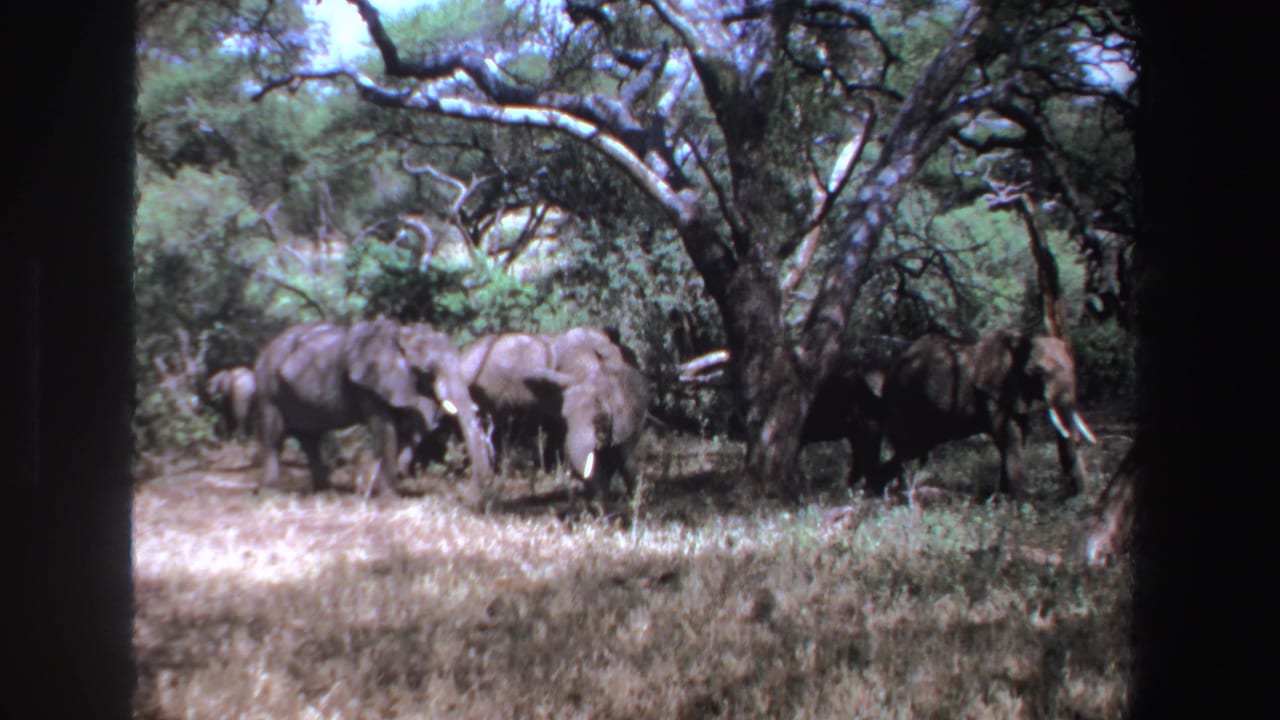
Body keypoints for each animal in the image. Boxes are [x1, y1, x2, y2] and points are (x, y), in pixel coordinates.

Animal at [253, 319, 493, 499]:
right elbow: (385, 428)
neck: (402, 334)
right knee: (274, 436)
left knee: (310, 439)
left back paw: (324, 492)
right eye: (428, 370)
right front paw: (388, 498)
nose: (468, 494)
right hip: (268, 386)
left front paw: (369, 487)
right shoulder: (368, 383)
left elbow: (404, 427)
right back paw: (271, 491)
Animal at [869, 330, 1096, 499]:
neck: (1021, 340)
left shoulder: (1013, 393)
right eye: (1038, 372)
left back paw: (881, 490)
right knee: (907, 451)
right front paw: (1015, 504)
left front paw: (1003, 500)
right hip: (902, 401)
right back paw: (892, 494)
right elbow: (1009, 438)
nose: (1077, 499)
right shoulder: (993, 392)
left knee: (912, 453)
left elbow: (1018, 436)